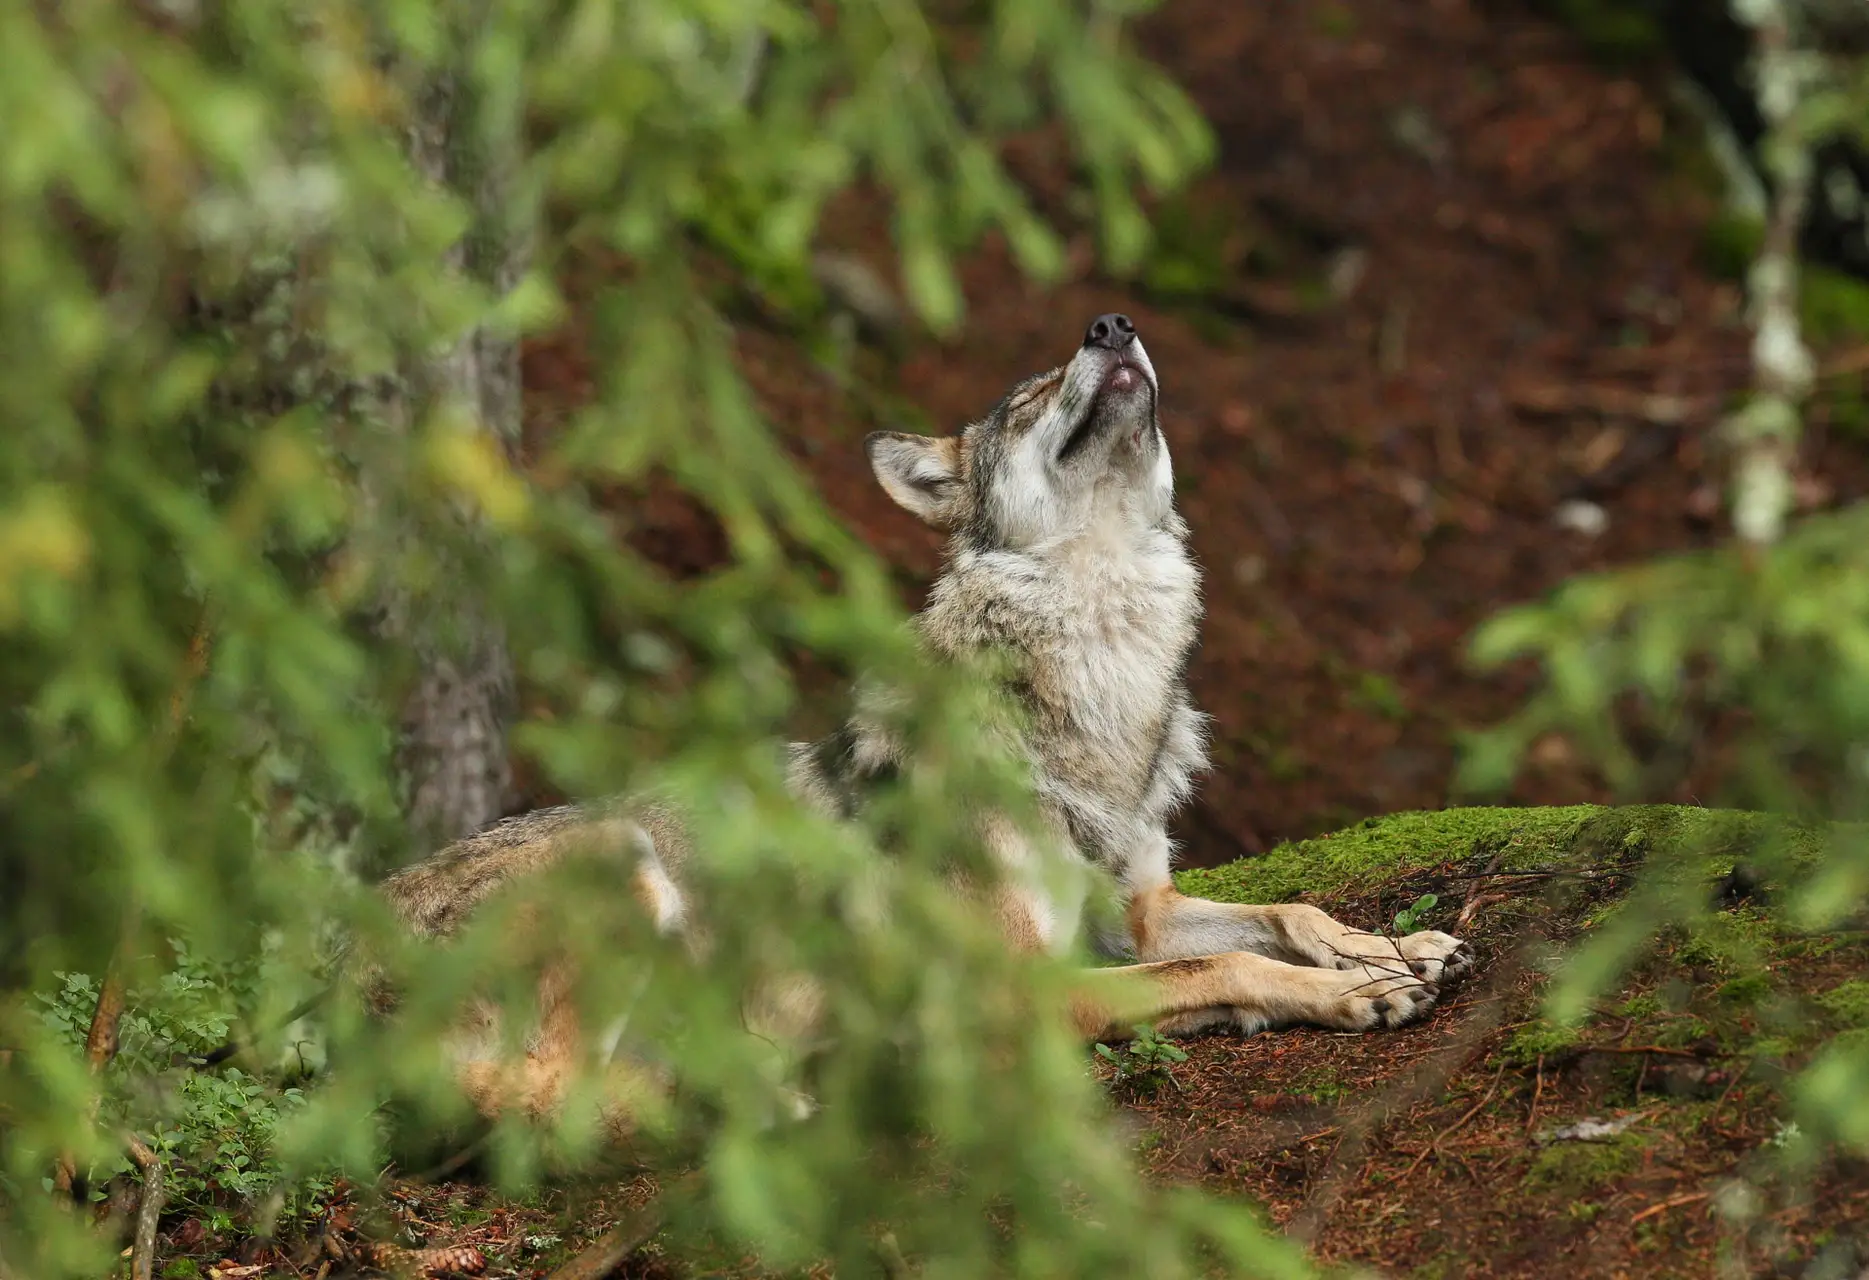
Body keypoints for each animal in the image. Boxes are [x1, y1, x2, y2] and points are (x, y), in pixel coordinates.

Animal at [377, 312, 1473, 1128]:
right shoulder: (1026, 984)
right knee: (551, 1101)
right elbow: (1230, 960)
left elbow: (1282, 915)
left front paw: (1393, 950)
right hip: (622, 857)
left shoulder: (1136, 915)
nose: (1111, 323)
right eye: (1026, 401)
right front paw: (1356, 992)